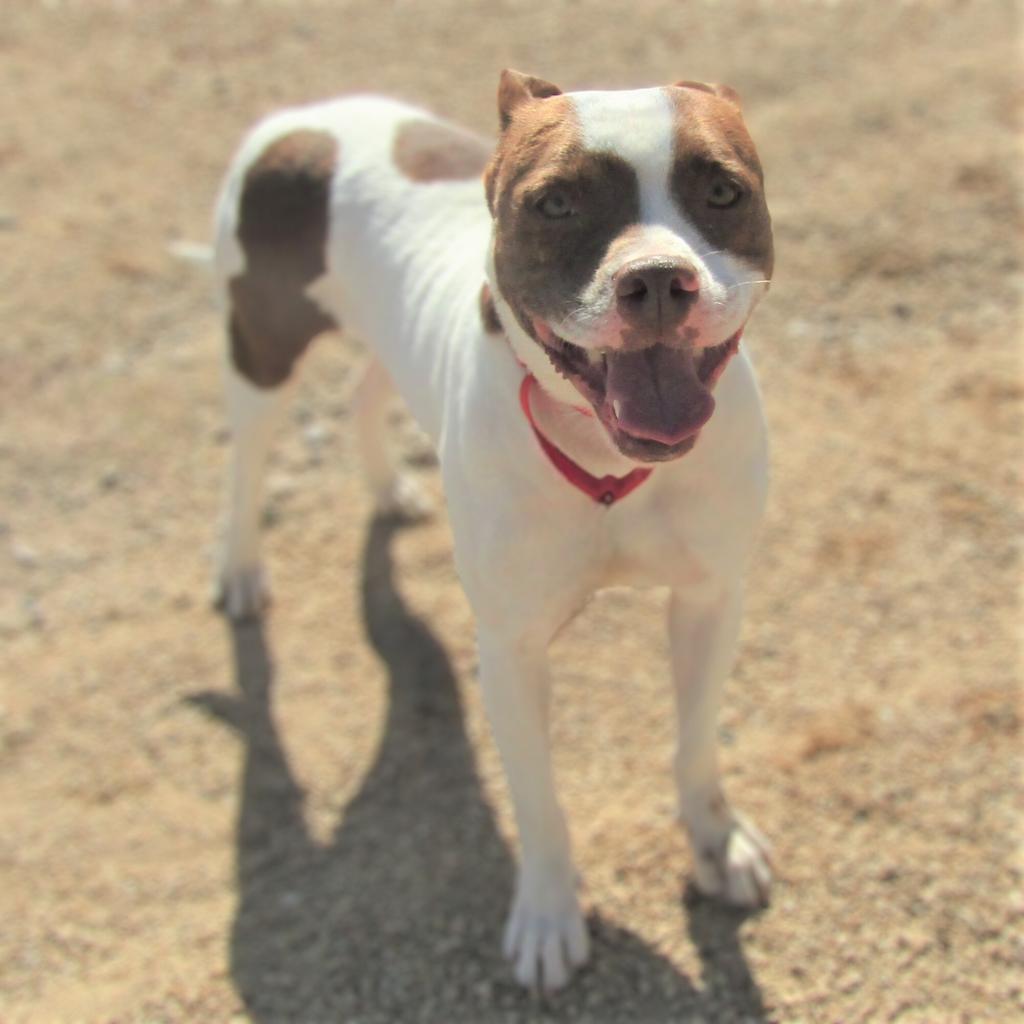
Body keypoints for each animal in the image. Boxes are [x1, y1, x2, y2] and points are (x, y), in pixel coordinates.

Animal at [214, 70, 774, 991]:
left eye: (722, 192)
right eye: (555, 203)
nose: (659, 280)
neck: (602, 452)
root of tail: (301, 119)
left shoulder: (710, 599)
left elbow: (695, 744)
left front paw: (716, 844)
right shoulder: (510, 653)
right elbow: (538, 801)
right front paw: (548, 916)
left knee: (366, 389)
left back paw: (389, 488)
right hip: (260, 347)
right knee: (242, 458)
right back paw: (238, 570)